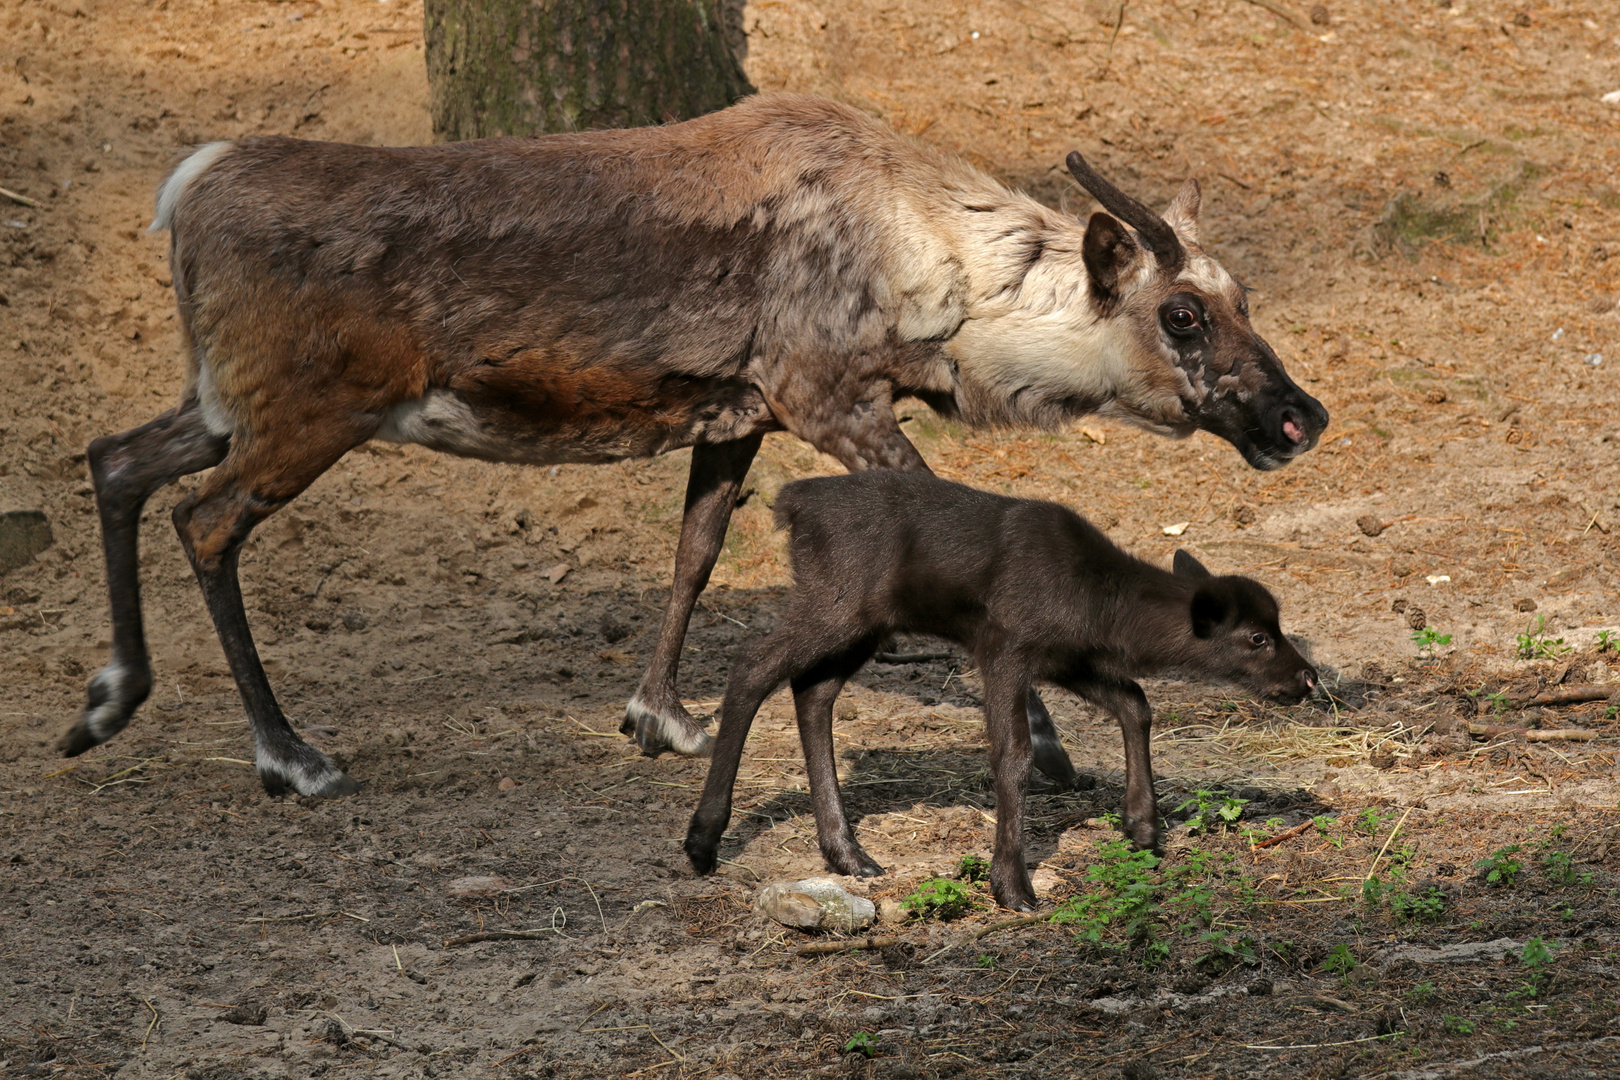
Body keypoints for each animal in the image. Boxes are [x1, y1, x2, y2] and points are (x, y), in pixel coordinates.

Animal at [683, 472, 1315, 913]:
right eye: (1257, 637)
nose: (1307, 677)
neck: (1097, 603)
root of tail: (791, 504)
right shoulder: (1005, 644)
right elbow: (1013, 755)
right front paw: (1012, 886)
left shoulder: (1065, 657)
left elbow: (1135, 702)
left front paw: (1142, 829)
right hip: (836, 599)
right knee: (752, 666)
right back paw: (703, 839)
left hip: (868, 622)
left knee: (812, 689)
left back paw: (847, 853)